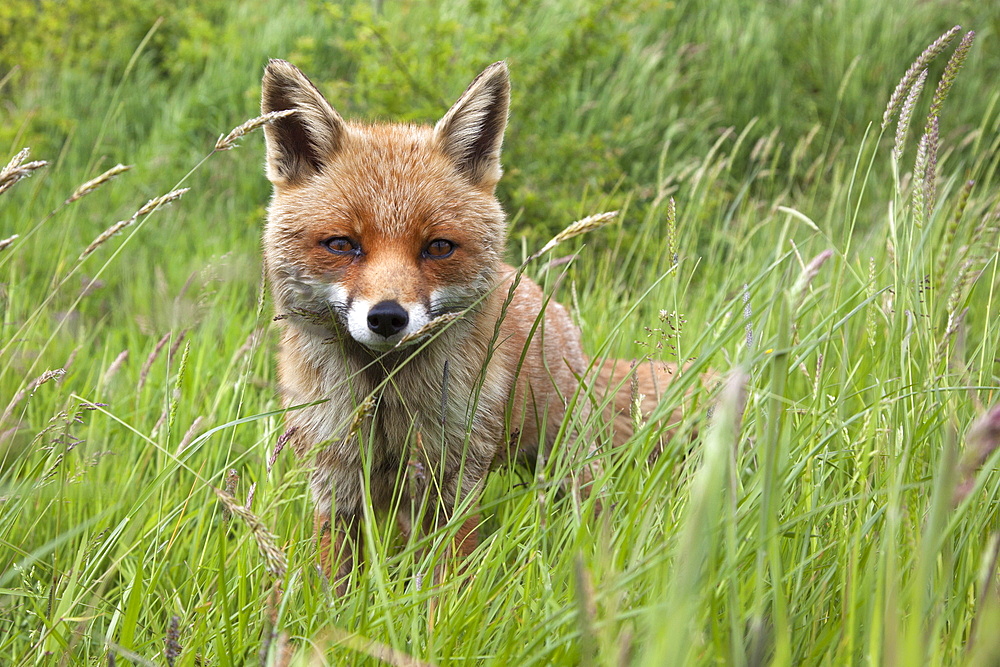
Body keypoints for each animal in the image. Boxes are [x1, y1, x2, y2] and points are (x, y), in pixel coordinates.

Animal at [260, 60, 688, 592]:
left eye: (438, 247)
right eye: (342, 245)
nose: (387, 317)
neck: (387, 396)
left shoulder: (456, 478)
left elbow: (447, 584)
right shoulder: (335, 478)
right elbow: (336, 586)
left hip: (566, 464)